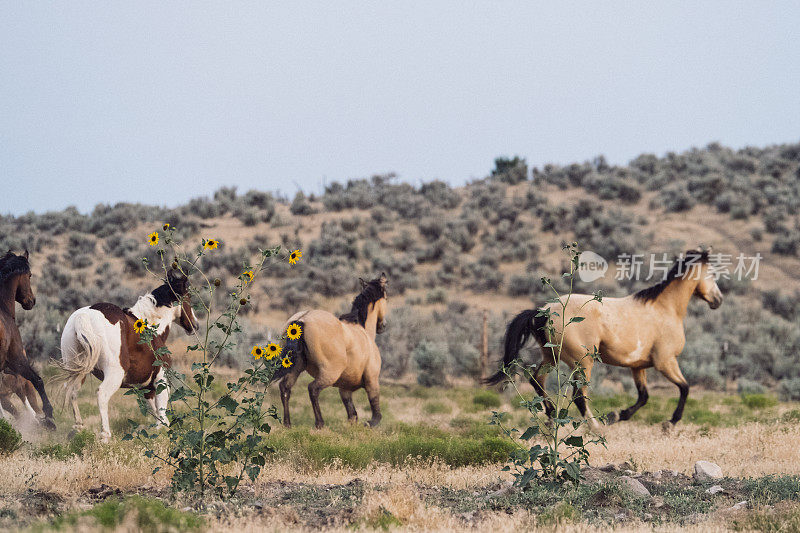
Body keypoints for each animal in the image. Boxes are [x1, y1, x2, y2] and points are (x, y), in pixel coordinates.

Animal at [54, 270, 197, 440]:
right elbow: (161, 412)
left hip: (78, 369)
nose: (195, 325)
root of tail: (84, 316)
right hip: (114, 374)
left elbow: (154, 410)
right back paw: (105, 435)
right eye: (188, 297)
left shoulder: (146, 388)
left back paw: (78, 427)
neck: (152, 329)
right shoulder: (161, 378)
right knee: (101, 394)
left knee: (72, 391)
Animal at [276, 274, 388, 428]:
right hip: (329, 373)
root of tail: (302, 319)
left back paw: (287, 424)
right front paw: (370, 423)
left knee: (285, 388)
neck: (363, 331)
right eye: (386, 298)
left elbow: (352, 415)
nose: (383, 326)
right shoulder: (372, 381)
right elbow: (376, 414)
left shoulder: (345, 390)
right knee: (313, 389)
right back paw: (320, 423)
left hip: (295, 368)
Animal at [488, 248, 724, 428]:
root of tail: (545, 311)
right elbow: (685, 388)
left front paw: (618, 415)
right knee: (578, 395)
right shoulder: (665, 362)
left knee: (537, 380)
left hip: (551, 357)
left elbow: (644, 396)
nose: (718, 300)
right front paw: (670, 423)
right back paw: (594, 427)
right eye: (712, 274)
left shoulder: (638, 366)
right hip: (582, 363)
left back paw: (552, 417)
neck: (665, 309)